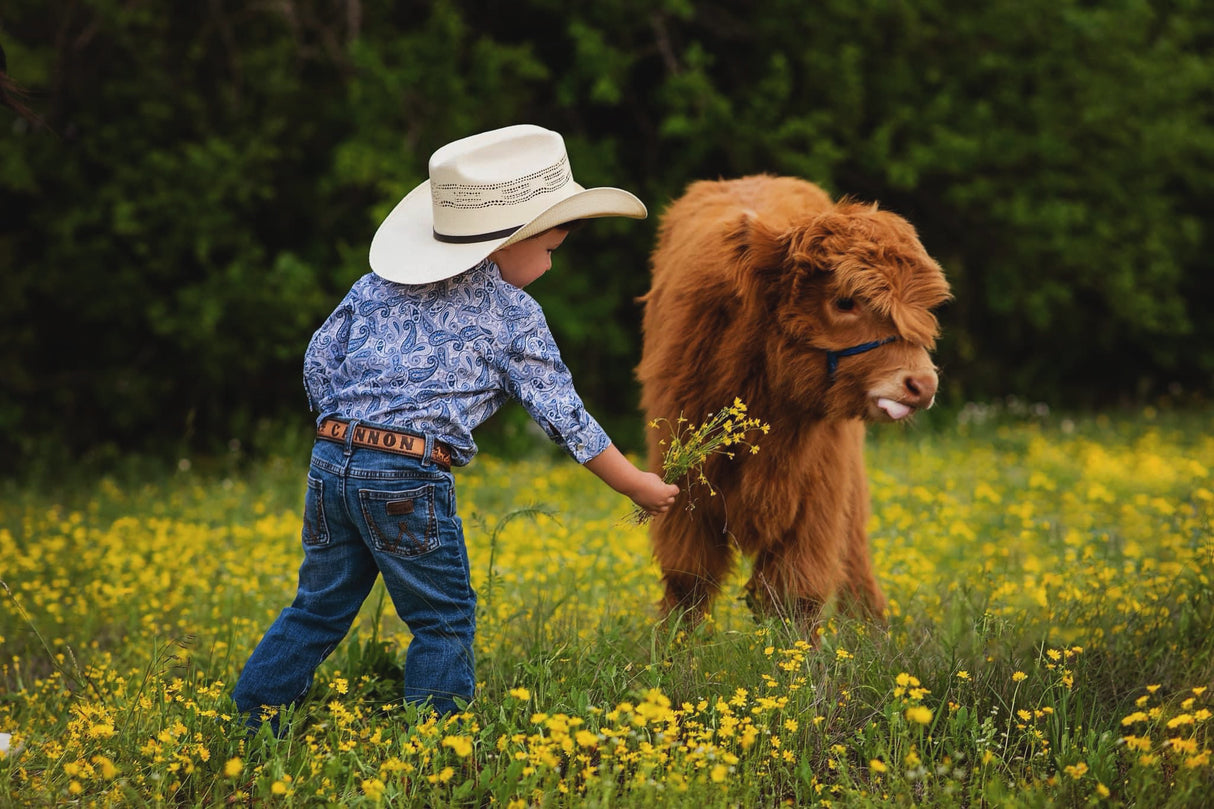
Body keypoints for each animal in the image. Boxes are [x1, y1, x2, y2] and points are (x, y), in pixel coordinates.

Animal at [631, 174, 951, 631]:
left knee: (854, 551)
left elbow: (798, 589)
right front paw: (674, 647)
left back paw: (871, 629)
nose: (922, 384)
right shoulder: (683, 482)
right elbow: (688, 579)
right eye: (845, 301)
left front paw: (794, 652)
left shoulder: (819, 493)